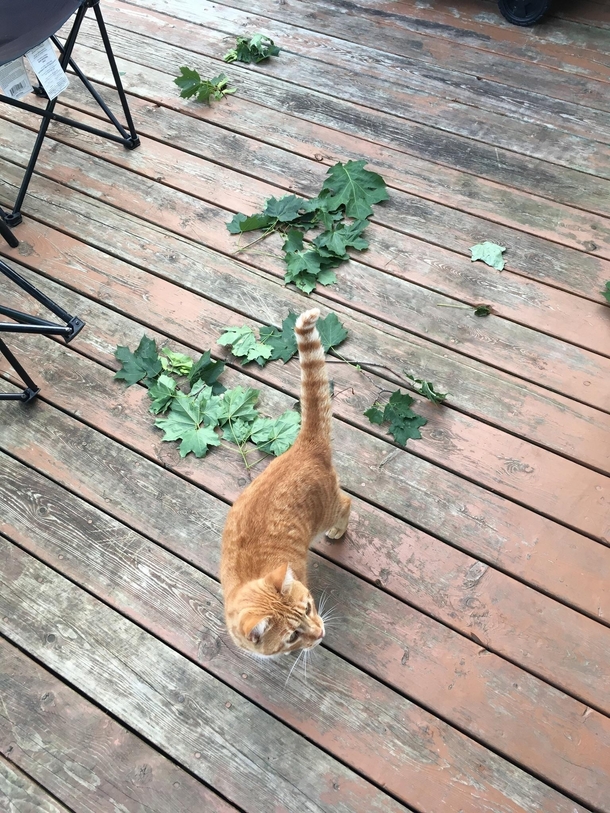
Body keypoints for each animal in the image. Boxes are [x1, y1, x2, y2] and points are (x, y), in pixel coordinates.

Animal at [221, 308, 350, 656]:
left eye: (309, 607)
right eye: (292, 636)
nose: (320, 633)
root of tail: (302, 444)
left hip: (329, 510)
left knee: (346, 504)